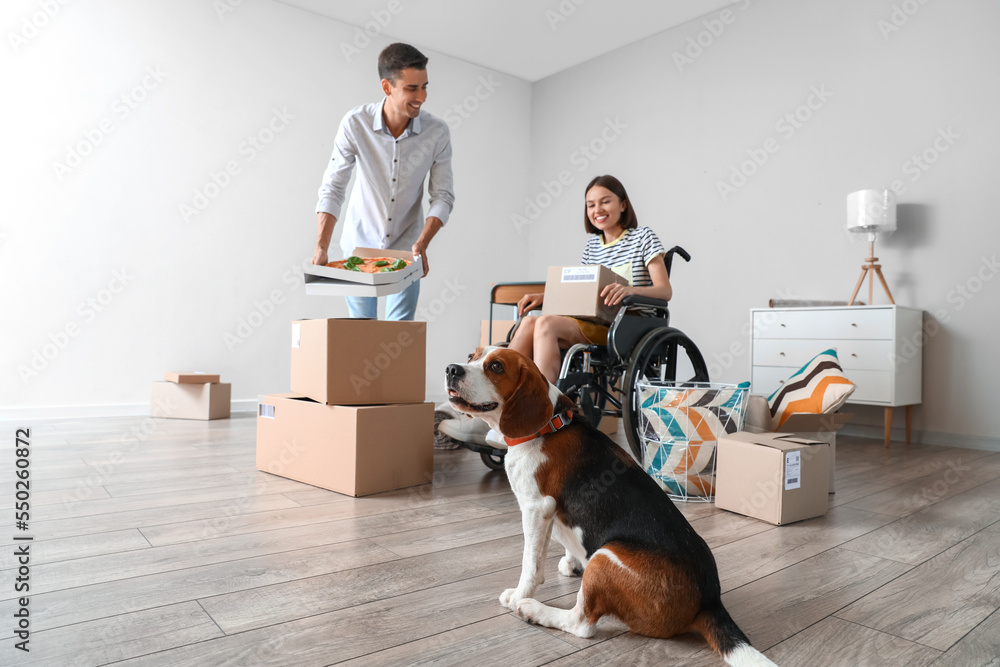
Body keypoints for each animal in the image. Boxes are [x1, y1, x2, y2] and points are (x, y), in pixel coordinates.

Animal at [448, 348, 780, 667]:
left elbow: (530, 564)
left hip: (605, 558)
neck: (549, 427)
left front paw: (519, 594)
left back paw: (534, 610)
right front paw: (571, 562)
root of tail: (709, 601)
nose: (451, 369)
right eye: (472, 357)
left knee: (582, 624)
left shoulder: (535, 508)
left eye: (496, 367)